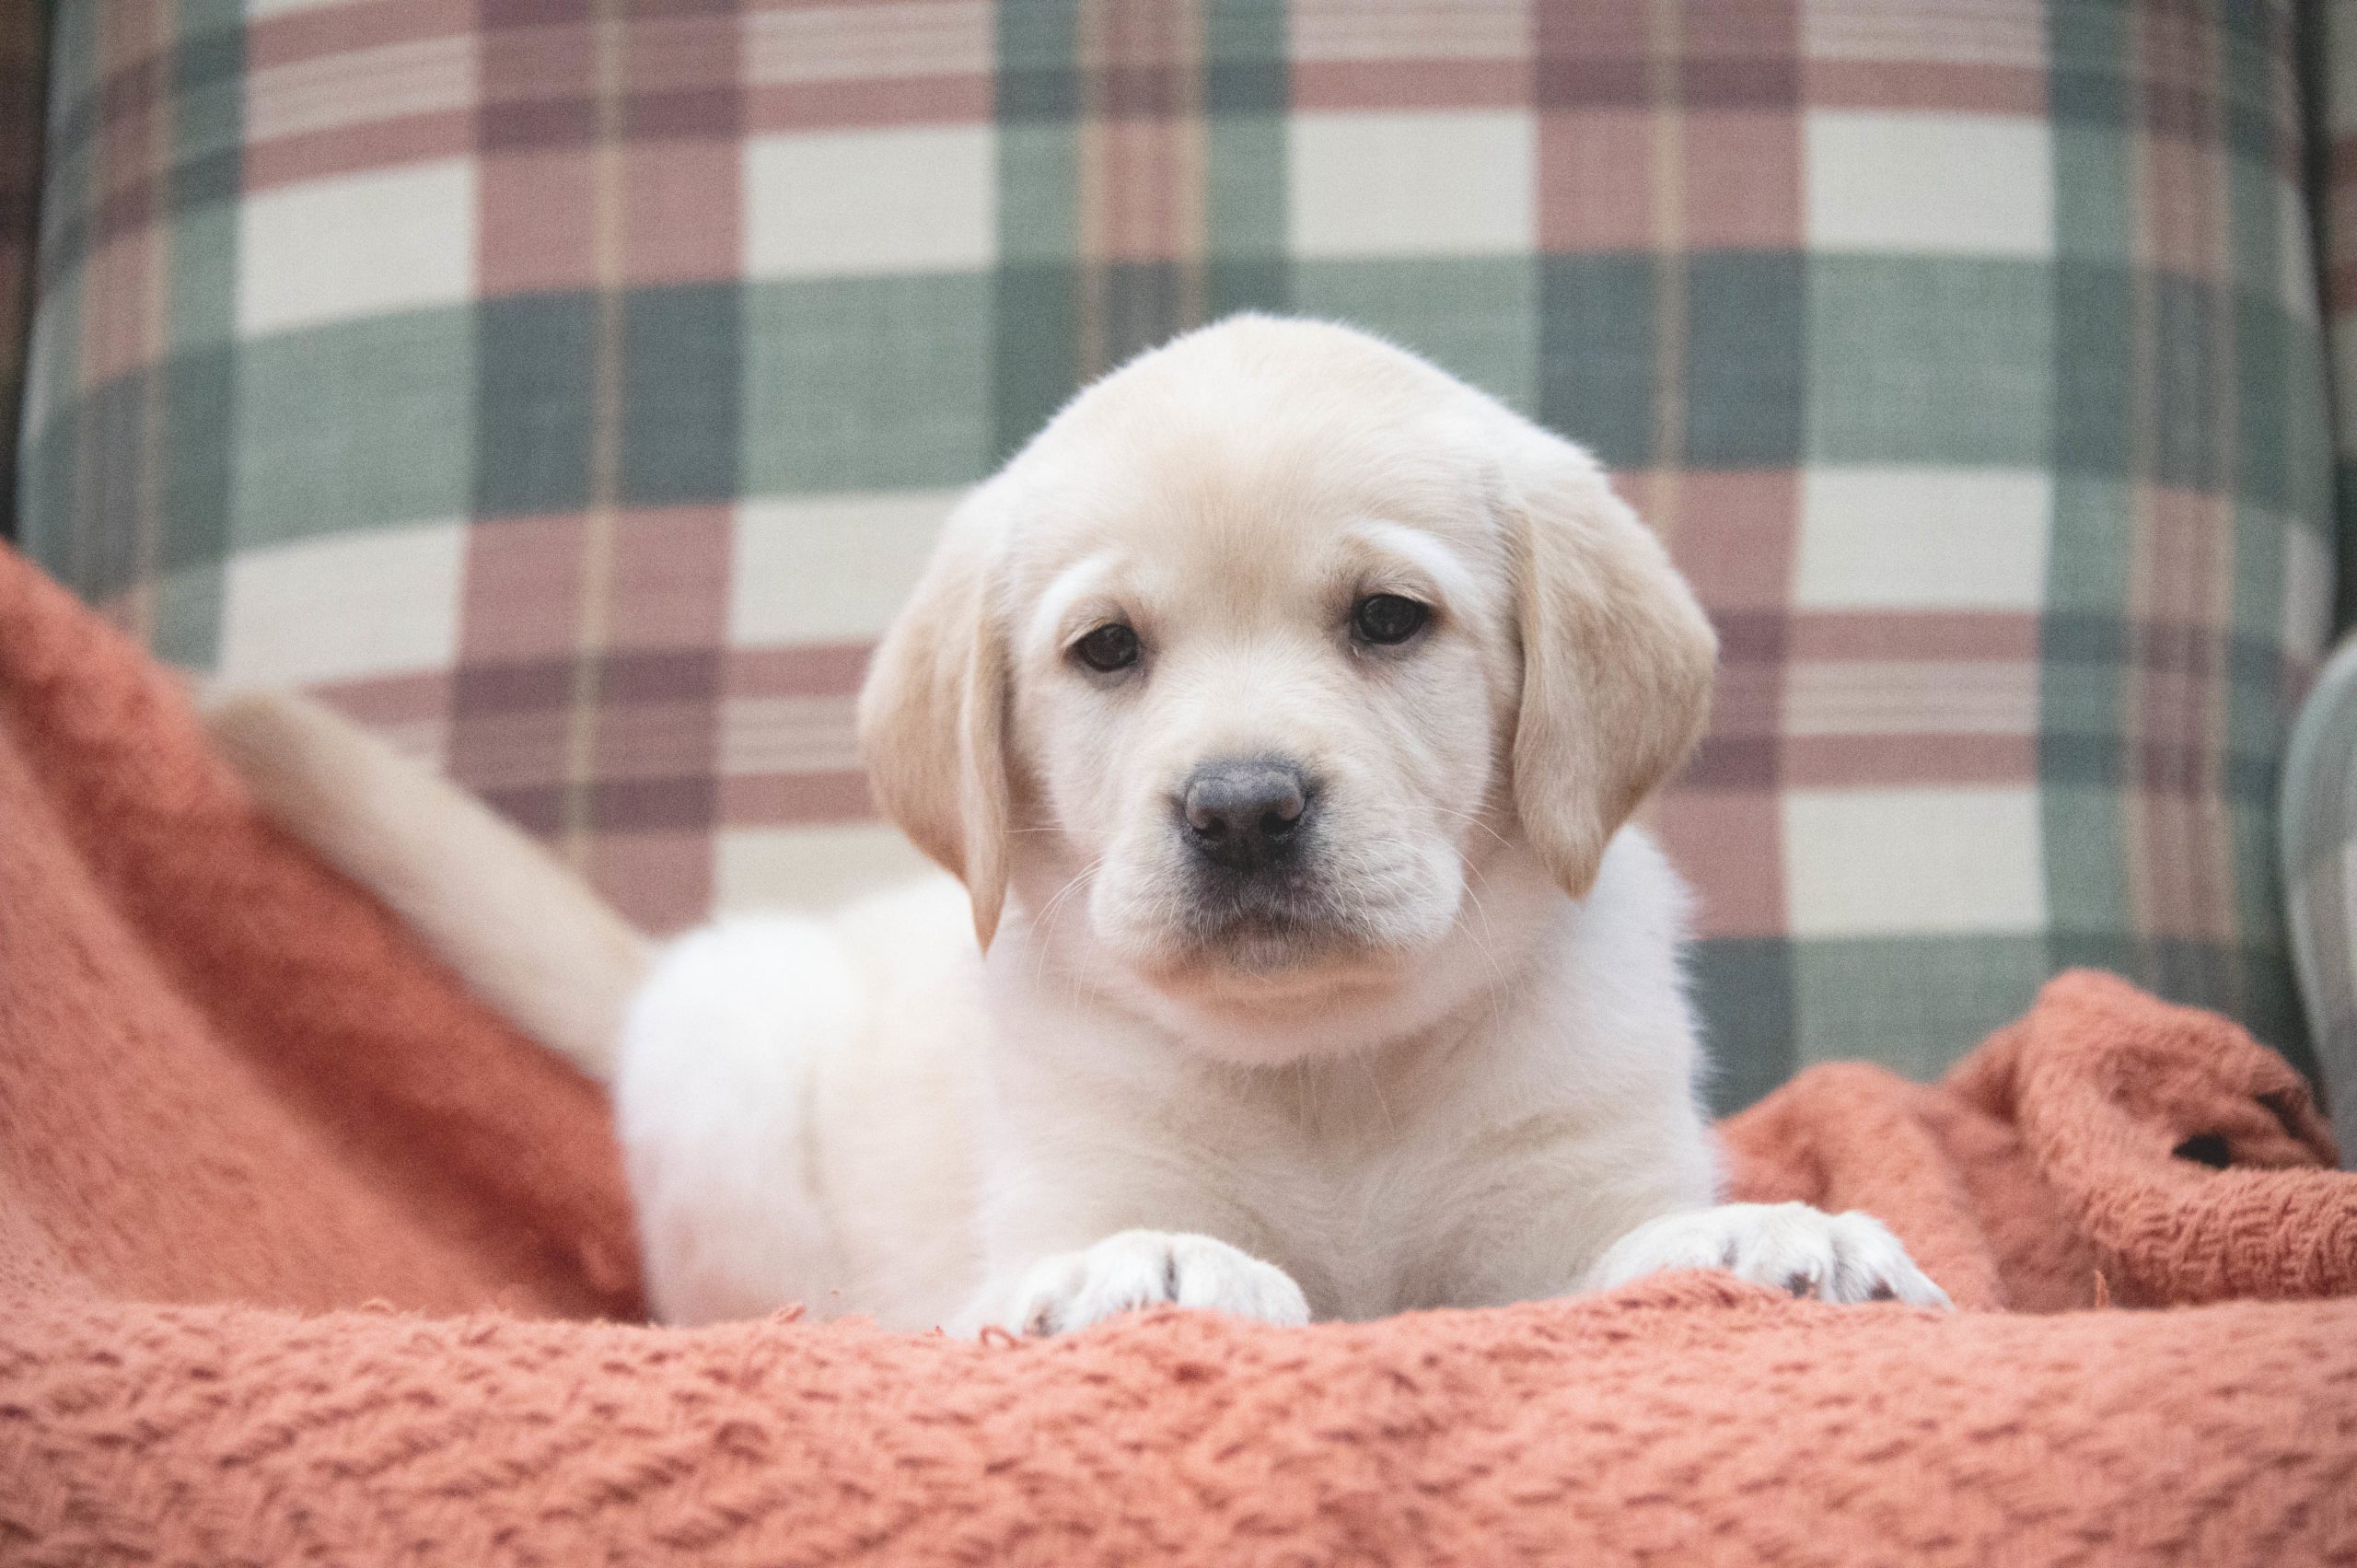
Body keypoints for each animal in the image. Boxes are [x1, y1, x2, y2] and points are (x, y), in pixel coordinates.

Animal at [212, 311, 1942, 1330]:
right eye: (1107, 649)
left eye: (1390, 618)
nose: (1242, 805)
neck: (1332, 1069)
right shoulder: (1056, 1184)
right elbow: (1109, 1242)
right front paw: (1152, 1262)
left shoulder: (1573, 1182)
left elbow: (1627, 1253)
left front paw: (1773, 1236)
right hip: (730, 1092)